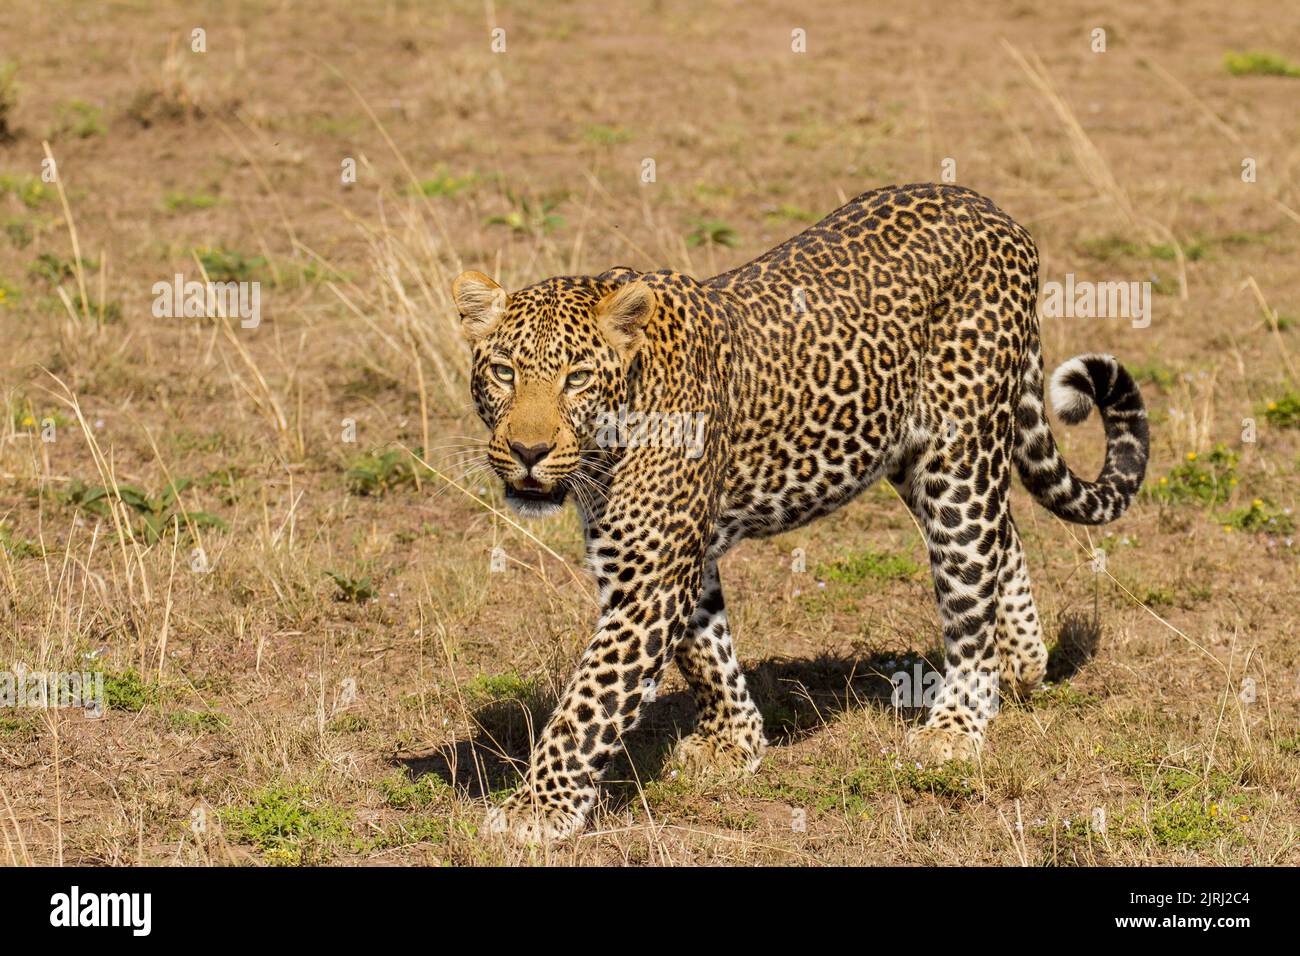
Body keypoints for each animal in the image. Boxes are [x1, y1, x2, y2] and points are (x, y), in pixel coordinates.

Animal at [450, 182, 1149, 843]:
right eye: (505, 372)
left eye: (576, 378)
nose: (529, 452)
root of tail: (992, 210)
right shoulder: (671, 556)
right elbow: (706, 649)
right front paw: (735, 741)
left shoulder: (650, 579)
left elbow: (588, 702)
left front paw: (536, 811)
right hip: (909, 454)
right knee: (1003, 533)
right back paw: (1022, 664)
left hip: (958, 452)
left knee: (969, 580)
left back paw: (958, 722)